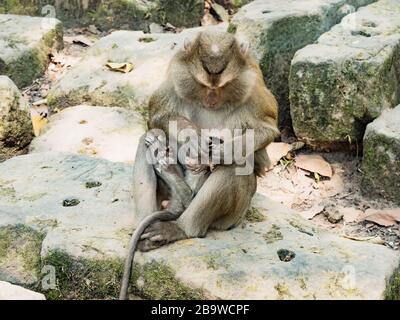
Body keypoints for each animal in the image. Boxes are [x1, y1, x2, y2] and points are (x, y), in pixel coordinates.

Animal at [120, 30, 280, 300]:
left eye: (222, 86)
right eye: (204, 85)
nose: (211, 99)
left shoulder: (255, 89)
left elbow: (266, 131)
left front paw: (223, 151)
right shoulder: (175, 78)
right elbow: (158, 116)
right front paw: (192, 136)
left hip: (232, 217)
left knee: (234, 167)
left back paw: (180, 226)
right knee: (149, 137)